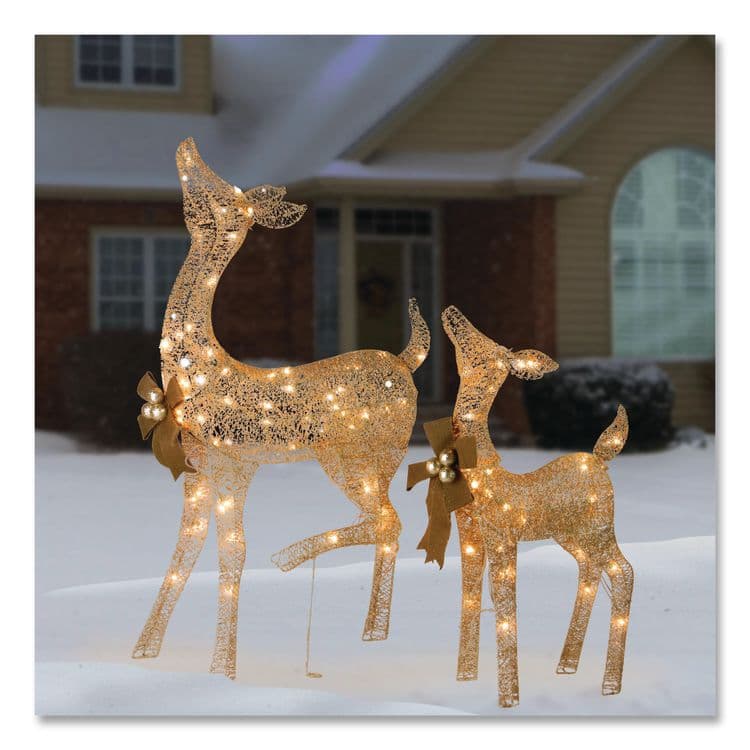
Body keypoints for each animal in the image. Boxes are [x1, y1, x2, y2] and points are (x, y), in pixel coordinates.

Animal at [132, 138, 430, 680]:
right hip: (382, 459)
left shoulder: (236, 466)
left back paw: (291, 557)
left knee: (388, 519)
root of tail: (405, 361)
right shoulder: (198, 469)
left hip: (350, 455)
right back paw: (372, 632)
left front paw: (223, 669)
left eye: (225, 194)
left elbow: (233, 550)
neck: (199, 371)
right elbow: (186, 547)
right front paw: (145, 651)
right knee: (389, 523)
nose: (188, 148)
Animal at [434, 306, 634, 707]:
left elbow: (506, 604)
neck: (483, 470)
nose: (453, 312)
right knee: (591, 572)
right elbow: (469, 595)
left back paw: (610, 685)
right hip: (573, 535)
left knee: (624, 572)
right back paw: (567, 665)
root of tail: (601, 459)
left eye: (483, 345)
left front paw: (509, 698)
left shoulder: (502, 536)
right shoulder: (471, 536)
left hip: (600, 528)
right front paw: (465, 679)